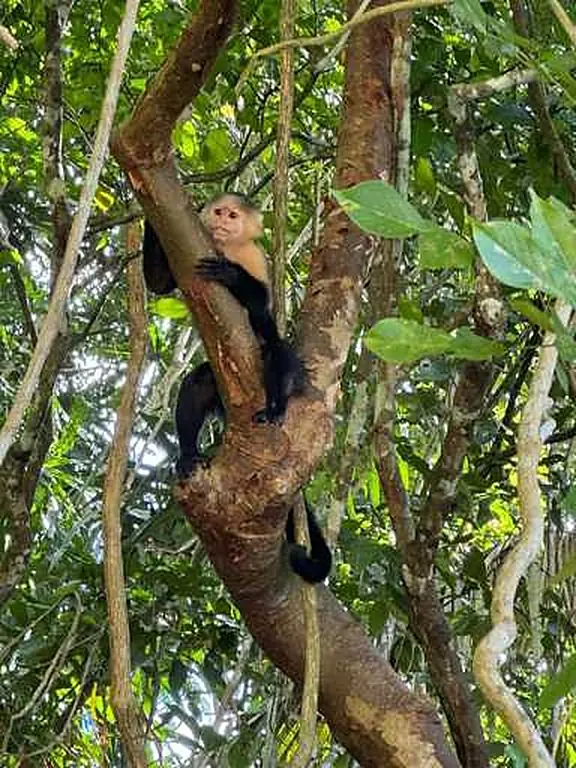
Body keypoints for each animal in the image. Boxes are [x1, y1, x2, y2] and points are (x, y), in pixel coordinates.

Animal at [143, 194, 331, 583]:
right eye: (218, 212)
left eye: (233, 215)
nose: (223, 220)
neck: (226, 247)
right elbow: (158, 283)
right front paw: (149, 219)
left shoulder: (255, 256)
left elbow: (261, 306)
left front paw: (231, 276)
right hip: (217, 386)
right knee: (197, 385)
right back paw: (188, 455)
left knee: (276, 351)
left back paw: (276, 407)